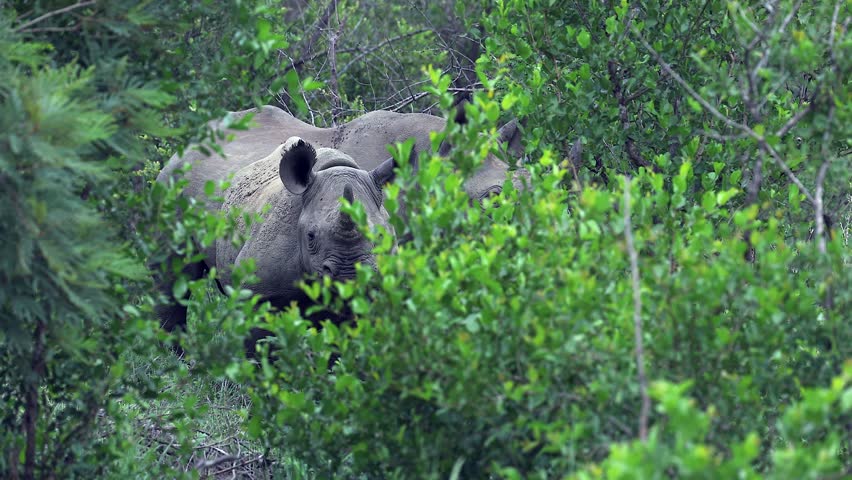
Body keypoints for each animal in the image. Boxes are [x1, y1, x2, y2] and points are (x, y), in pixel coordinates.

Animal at [154, 136, 396, 356]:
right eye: (310, 237)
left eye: (382, 237)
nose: (348, 277)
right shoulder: (259, 292)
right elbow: (259, 342)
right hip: (172, 189)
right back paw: (171, 358)